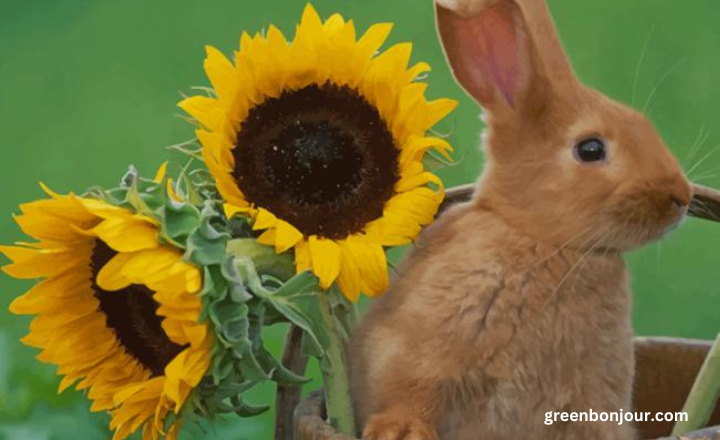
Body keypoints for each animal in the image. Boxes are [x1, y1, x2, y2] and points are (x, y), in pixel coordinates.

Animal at [348, 0, 692, 440]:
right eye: (591, 149)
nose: (680, 197)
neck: (542, 240)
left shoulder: (591, 403)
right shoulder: (414, 354)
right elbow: (410, 393)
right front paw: (400, 432)